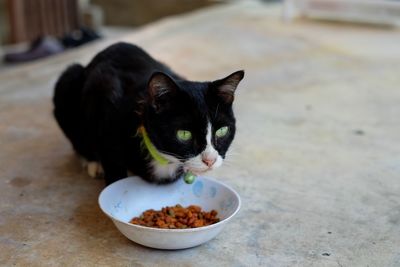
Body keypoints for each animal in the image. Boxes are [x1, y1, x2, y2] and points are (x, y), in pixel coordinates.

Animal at [51, 43, 242, 186]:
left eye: (222, 131)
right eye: (184, 134)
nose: (210, 160)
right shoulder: (104, 104)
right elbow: (112, 163)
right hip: (68, 80)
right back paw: (93, 163)